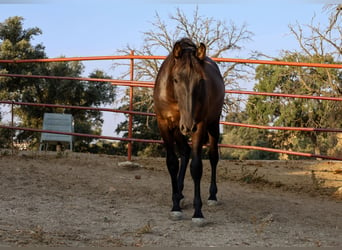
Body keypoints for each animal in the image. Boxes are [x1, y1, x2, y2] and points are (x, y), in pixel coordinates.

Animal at [154, 38, 226, 226]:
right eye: (176, 79)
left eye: (200, 80)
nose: (188, 125)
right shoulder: (164, 124)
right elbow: (172, 163)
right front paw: (175, 207)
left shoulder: (199, 125)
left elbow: (196, 167)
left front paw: (198, 212)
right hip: (177, 129)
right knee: (185, 151)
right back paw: (178, 194)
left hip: (213, 124)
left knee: (213, 157)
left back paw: (212, 196)